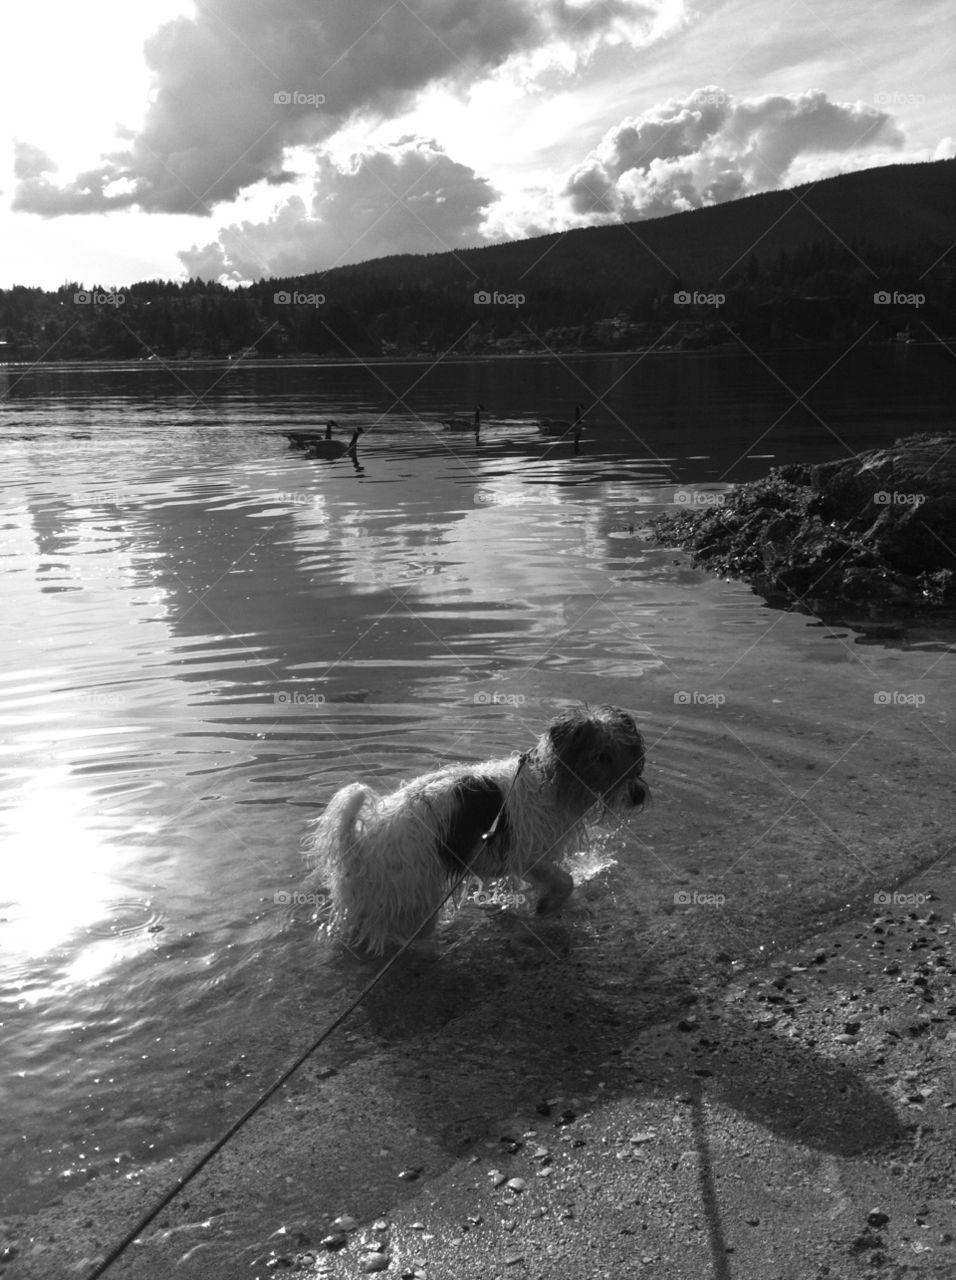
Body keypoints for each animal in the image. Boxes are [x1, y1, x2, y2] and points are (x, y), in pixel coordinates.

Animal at [307, 706, 650, 957]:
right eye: (602, 756)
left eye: (633, 752)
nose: (638, 796)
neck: (551, 781)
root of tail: (358, 843)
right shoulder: (528, 858)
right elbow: (564, 881)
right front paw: (546, 906)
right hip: (413, 902)